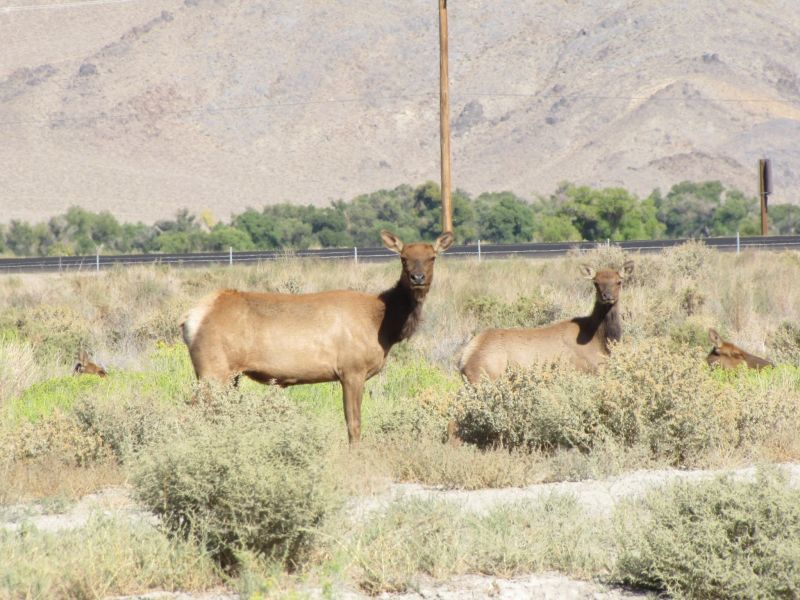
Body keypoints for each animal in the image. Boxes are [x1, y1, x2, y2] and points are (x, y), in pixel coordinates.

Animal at [181, 229, 454, 443]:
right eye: (403, 257)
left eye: (432, 257)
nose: (417, 278)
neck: (384, 326)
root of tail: (189, 320)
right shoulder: (352, 370)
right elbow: (353, 424)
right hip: (213, 369)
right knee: (191, 411)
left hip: (229, 374)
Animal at [459, 261, 635, 384]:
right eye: (596, 282)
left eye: (619, 281)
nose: (607, 296)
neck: (601, 339)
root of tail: (464, 359)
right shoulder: (587, 370)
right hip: (486, 377)